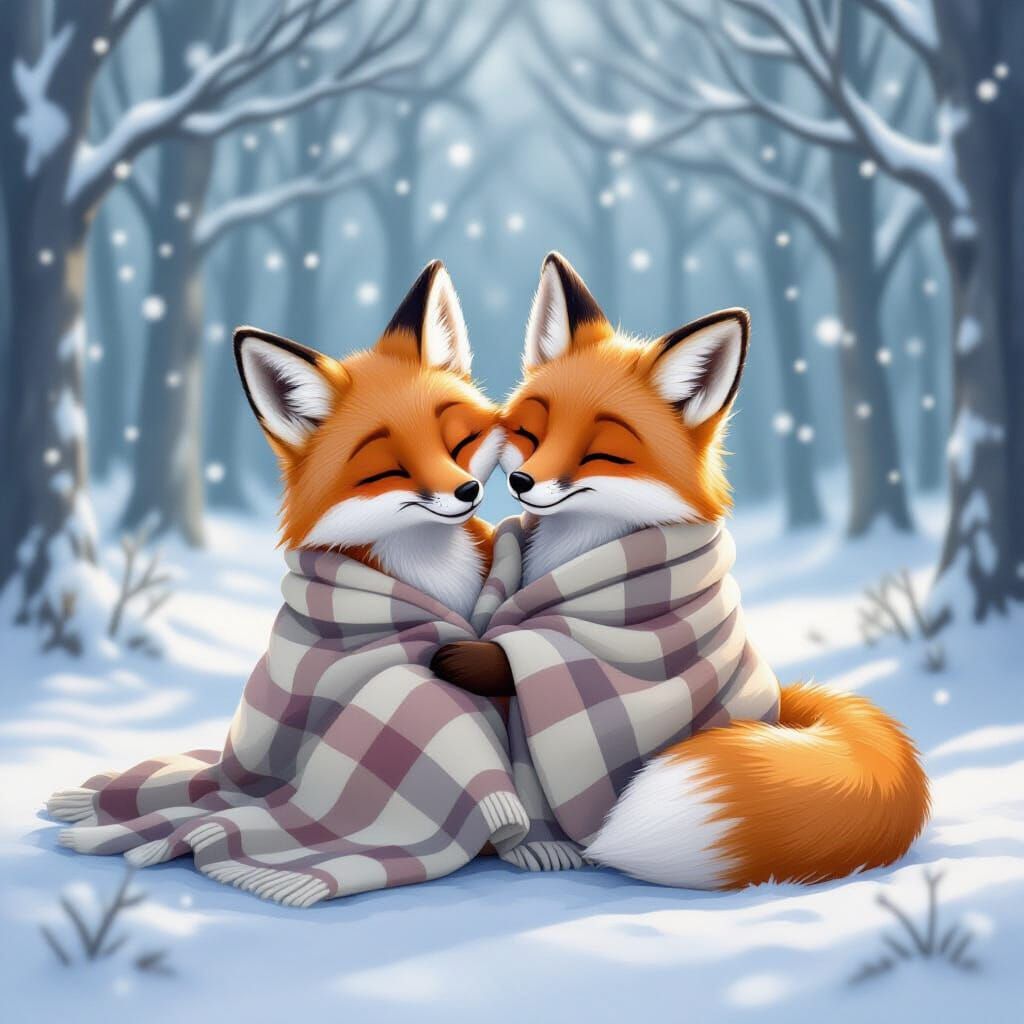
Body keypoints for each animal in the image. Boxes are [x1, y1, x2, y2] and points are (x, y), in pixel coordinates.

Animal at [434, 251, 930, 888]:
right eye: (530, 433)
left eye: (601, 453)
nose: (520, 482)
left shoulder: (637, 651)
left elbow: (519, 652)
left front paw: (466, 657)